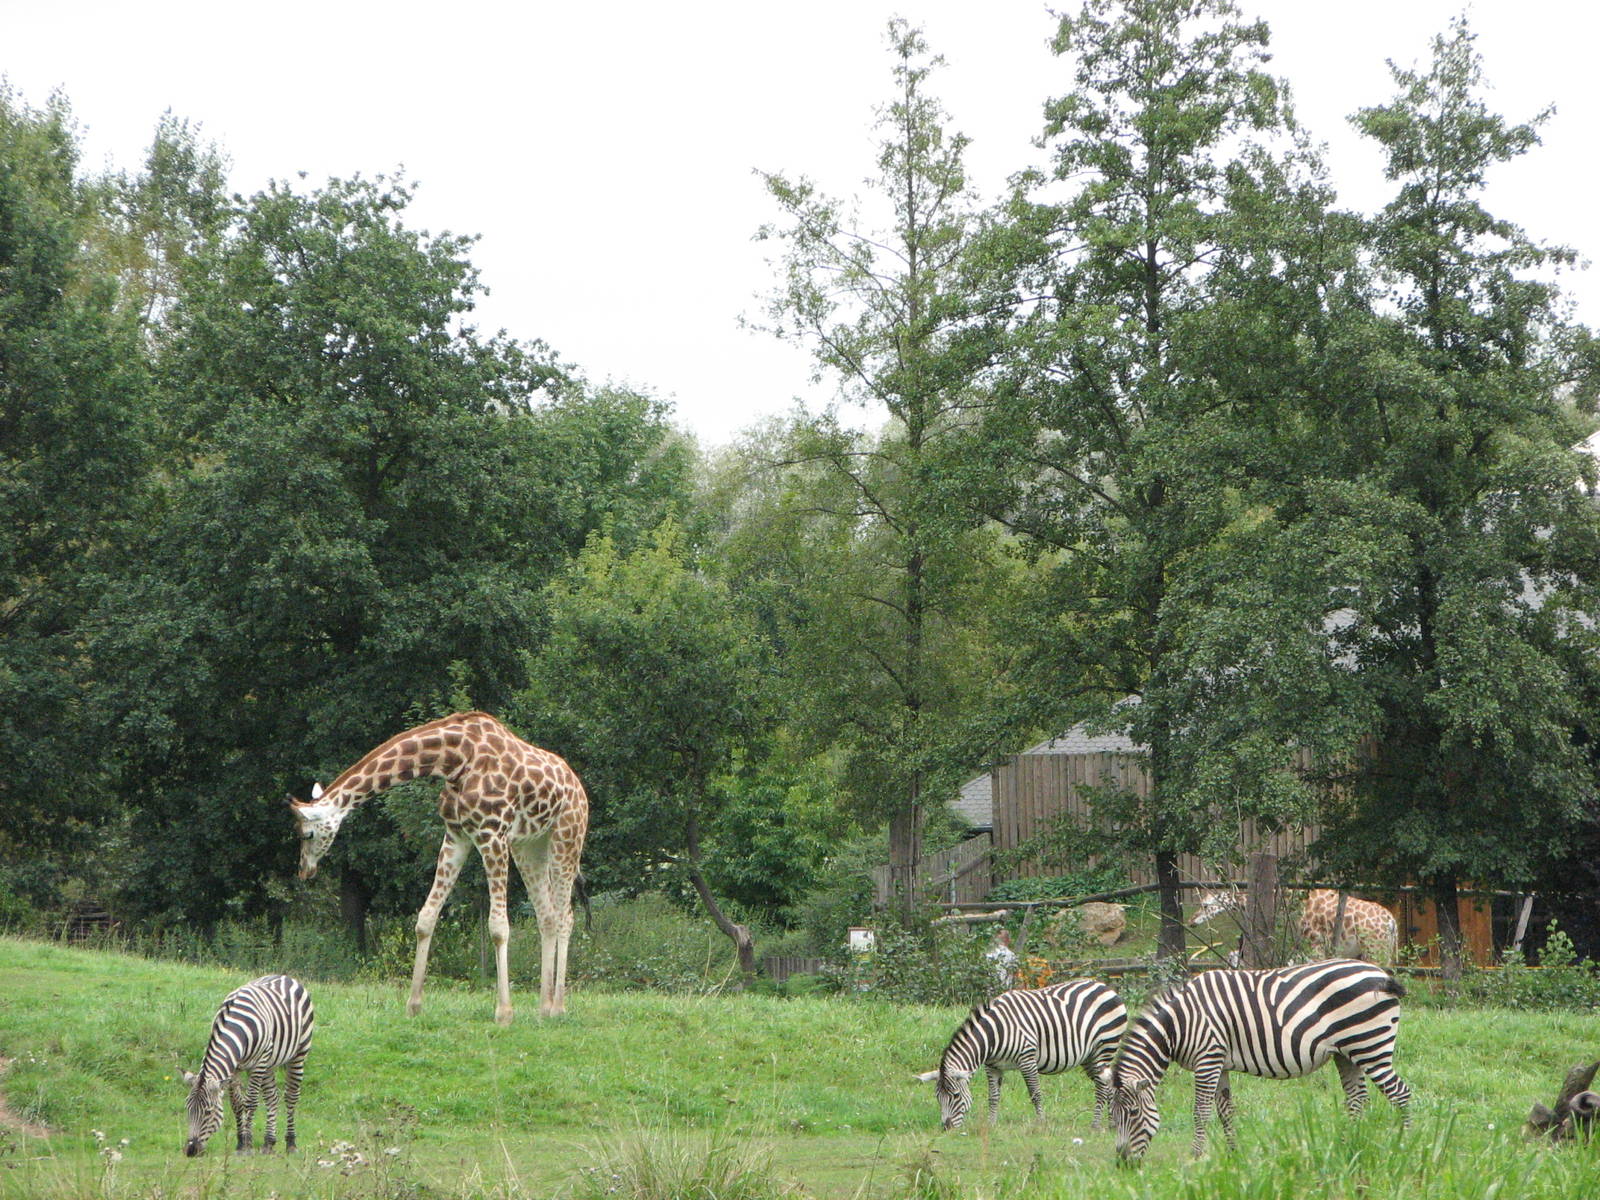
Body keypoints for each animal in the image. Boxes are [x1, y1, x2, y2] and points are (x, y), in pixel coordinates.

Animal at [182, 974, 315, 1156]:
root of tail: (284, 976)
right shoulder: (235, 1068)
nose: (190, 1151)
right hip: (270, 1062)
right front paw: (240, 1143)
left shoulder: (258, 1063)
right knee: (272, 1097)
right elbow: (237, 1104)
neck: (236, 1026)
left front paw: (248, 1144)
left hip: (298, 1053)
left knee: (291, 1096)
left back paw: (291, 1143)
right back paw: (268, 1142)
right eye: (188, 1109)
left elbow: (251, 1101)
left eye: (209, 1112)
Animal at [288, 711, 588, 1025]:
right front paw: (413, 1004)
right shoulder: (456, 836)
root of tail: (578, 786)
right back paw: (543, 1008)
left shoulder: (492, 835)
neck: (455, 760)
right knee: (548, 916)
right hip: (529, 846)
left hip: (566, 836)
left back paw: (558, 1007)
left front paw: (504, 1012)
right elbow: (426, 918)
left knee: (565, 916)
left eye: (307, 834)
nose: (305, 870)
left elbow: (498, 927)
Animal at [916, 978, 1128, 1130]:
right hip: (1089, 1056)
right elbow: (993, 1096)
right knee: (1108, 1084)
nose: (946, 1128)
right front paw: (991, 1125)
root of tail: (1105, 987)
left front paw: (1041, 1123)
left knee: (1102, 1087)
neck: (994, 1034)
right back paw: (1113, 1124)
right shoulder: (992, 1066)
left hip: (1105, 1047)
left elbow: (1035, 1094)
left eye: (956, 1096)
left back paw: (1096, 1125)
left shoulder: (1026, 1058)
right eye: (938, 1098)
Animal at [1105, 959, 1410, 1161]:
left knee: (1400, 1093)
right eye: (1113, 1116)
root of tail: (1380, 972)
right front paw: (1233, 1155)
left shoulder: (1207, 1059)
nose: (1122, 1164)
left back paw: (1402, 1144)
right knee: (1358, 1099)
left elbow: (1200, 1111)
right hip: (1347, 1053)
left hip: (1370, 1046)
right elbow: (1225, 1111)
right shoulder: (1220, 1063)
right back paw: (1349, 1145)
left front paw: (1196, 1157)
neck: (1178, 1024)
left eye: (1134, 1113)